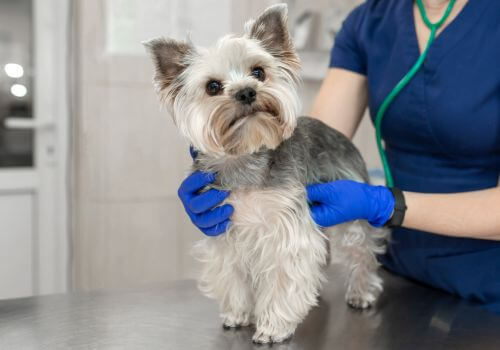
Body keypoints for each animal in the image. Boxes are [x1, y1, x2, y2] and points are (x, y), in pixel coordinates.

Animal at [144, 3, 386, 344]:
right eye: (212, 86)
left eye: (258, 72)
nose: (247, 92)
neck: (244, 159)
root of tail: (339, 134)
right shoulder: (225, 232)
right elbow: (232, 276)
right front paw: (237, 314)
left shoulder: (288, 231)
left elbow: (286, 279)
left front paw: (273, 327)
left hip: (353, 205)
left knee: (362, 249)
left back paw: (362, 292)